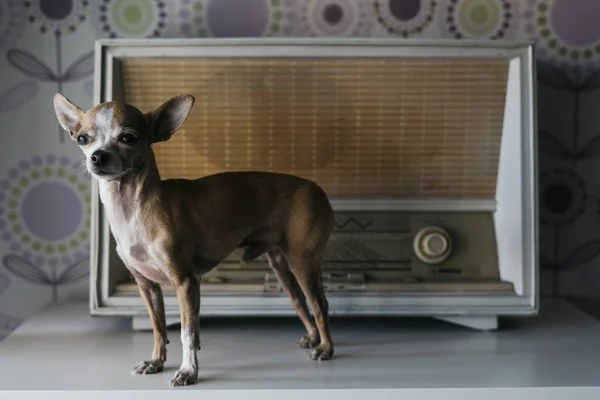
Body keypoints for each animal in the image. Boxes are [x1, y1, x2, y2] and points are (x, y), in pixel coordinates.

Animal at [53, 94, 336, 388]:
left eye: (128, 138)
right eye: (82, 138)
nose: (98, 156)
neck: (134, 210)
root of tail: (318, 190)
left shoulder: (186, 282)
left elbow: (187, 333)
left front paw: (188, 371)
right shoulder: (147, 286)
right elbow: (159, 327)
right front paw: (156, 362)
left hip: (303, 262)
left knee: (320, 304)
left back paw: (326, 348)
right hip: (281, 266)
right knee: (300, 301)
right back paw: (313, 338)